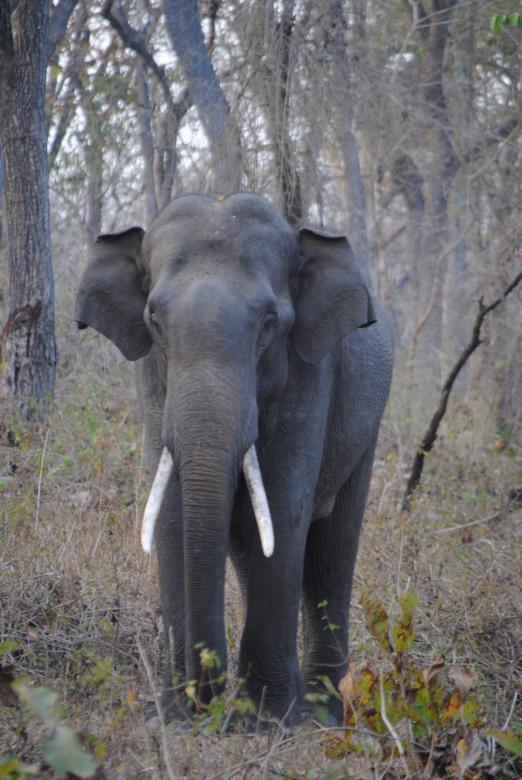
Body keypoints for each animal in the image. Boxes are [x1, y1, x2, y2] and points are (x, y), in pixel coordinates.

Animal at [75, 192, 393, 727]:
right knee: (251, 550)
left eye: (269, 323)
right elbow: (173, 514)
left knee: (331, 553)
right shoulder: (152, 385)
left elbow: (284, 510)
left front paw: (265, 723)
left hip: (367, 425)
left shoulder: (310, 375)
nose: (206, 695)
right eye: (154, 322)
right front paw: (176, 718)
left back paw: (322, 716)